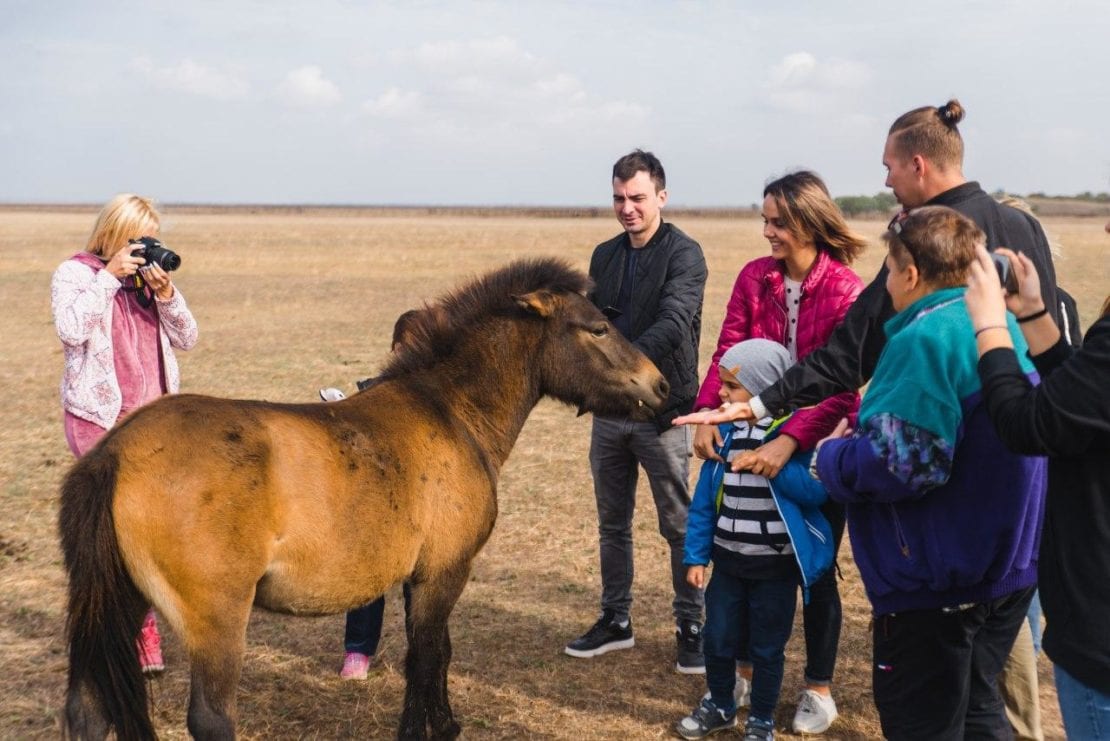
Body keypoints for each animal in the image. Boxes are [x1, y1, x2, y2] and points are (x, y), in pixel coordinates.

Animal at [58, 257, 666, 736]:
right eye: (596, 329)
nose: (659, 383)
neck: (449, 411)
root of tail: (115, 454)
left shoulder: (422, 575)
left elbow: (435, 651)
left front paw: (444, 723)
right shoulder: (446, 569)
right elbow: (427, 657)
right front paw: (424, 729)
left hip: (120, 601)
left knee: (86, 711)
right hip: (217, 618)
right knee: (210, 718)